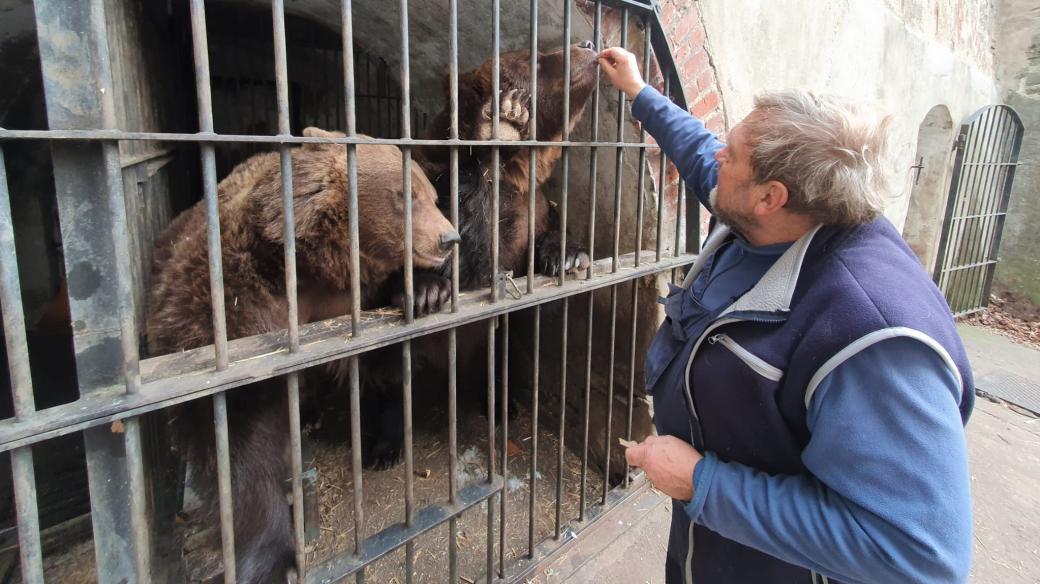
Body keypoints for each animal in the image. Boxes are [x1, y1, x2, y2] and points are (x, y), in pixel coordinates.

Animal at [145, 128, 455, 581]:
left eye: (432, 195)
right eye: (406, 194)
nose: (449, 238)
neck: (316, 266)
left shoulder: (358, 302)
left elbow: (389, 364)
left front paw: (427, 291)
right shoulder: (233, 308)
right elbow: (236, 433)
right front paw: (267, 557)